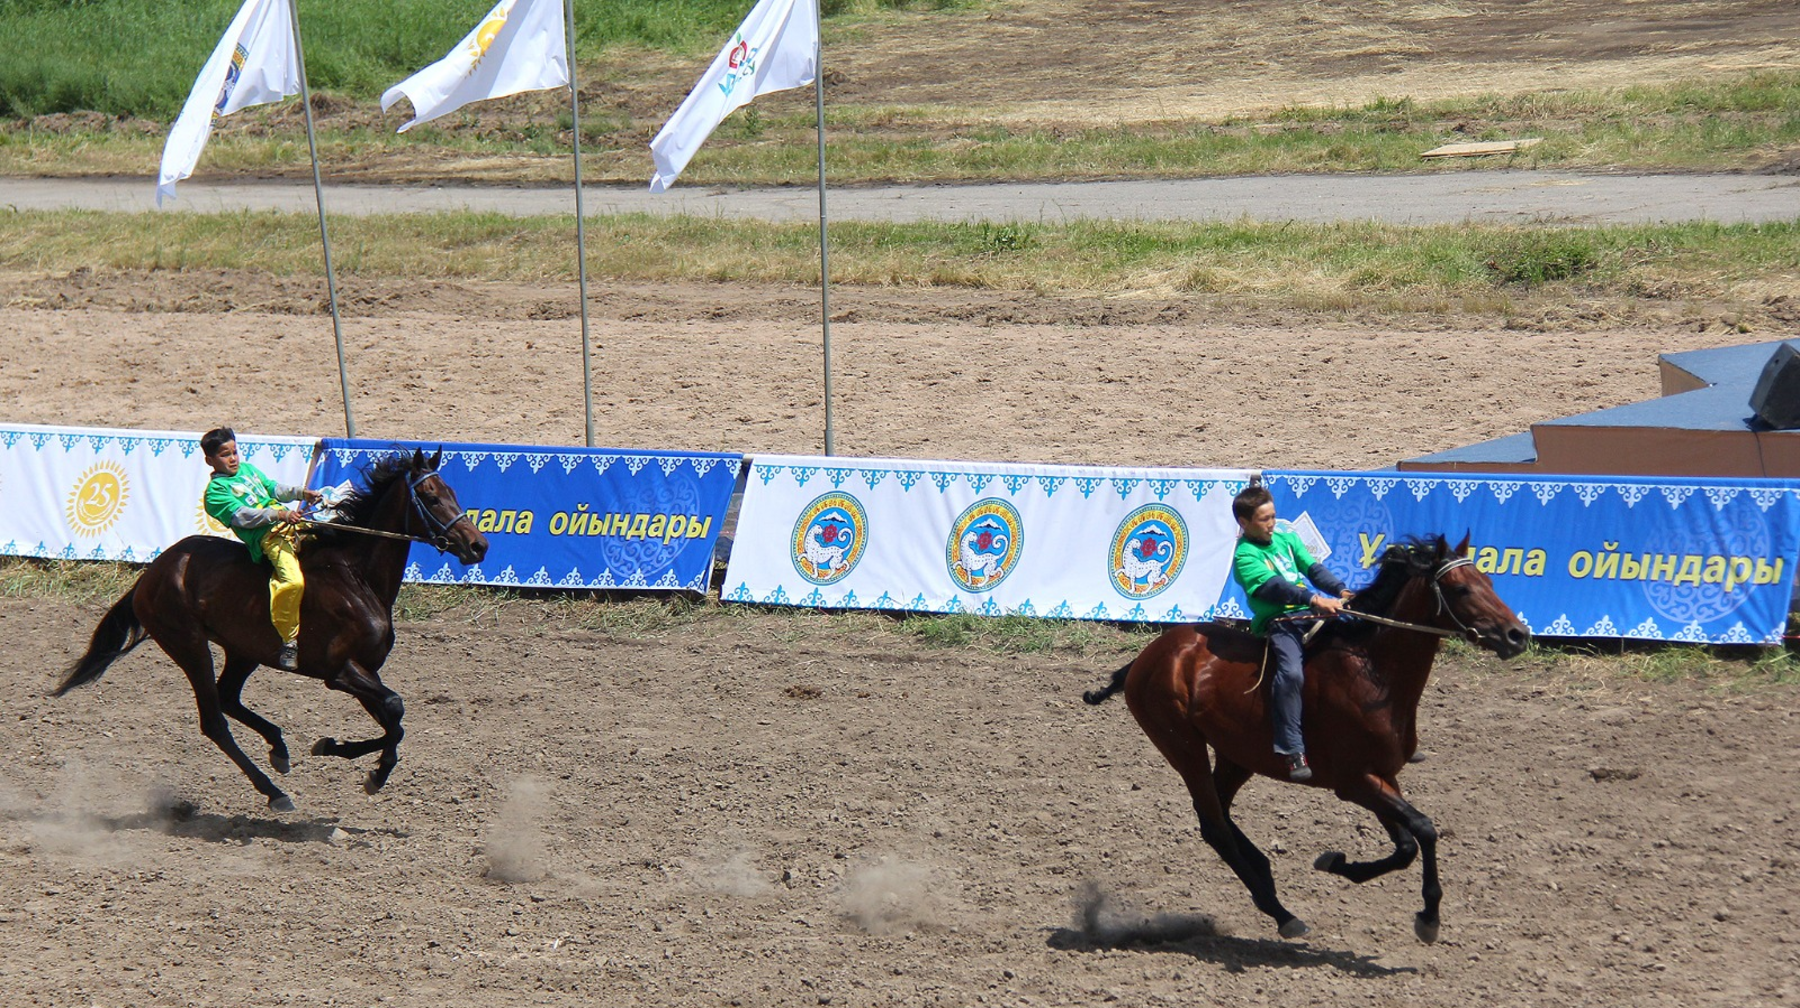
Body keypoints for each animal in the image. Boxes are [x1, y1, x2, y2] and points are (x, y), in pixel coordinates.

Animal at [55, 448, 486, 810]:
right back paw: (274, 791)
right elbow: (395, 709)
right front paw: (362, 767)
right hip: (189, 645)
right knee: (215, 719)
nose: (478, 545)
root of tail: (153, 573)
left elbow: (393, 722)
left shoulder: (367, 671)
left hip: (244, 650)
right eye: (430, 496)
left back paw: (278, 748)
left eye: (453, 491)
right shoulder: (340, 671)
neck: (355, 577)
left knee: (228, 697)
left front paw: (338, 751)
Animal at [1087, 536, 1526, 943]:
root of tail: (1148, 657)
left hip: (1236, 756)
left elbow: (1406, 846)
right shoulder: (1353, 782)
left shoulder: (1382, 776)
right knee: (1214, 825)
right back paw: (1280, 911)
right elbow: (1424, 828)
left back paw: (1264, 873)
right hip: (1183, 747)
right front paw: (1429, 918)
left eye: (1488, 581)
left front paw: (1336, 864)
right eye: (1461, 589)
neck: (1372, 674)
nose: (1517, 634)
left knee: (1218, 815)